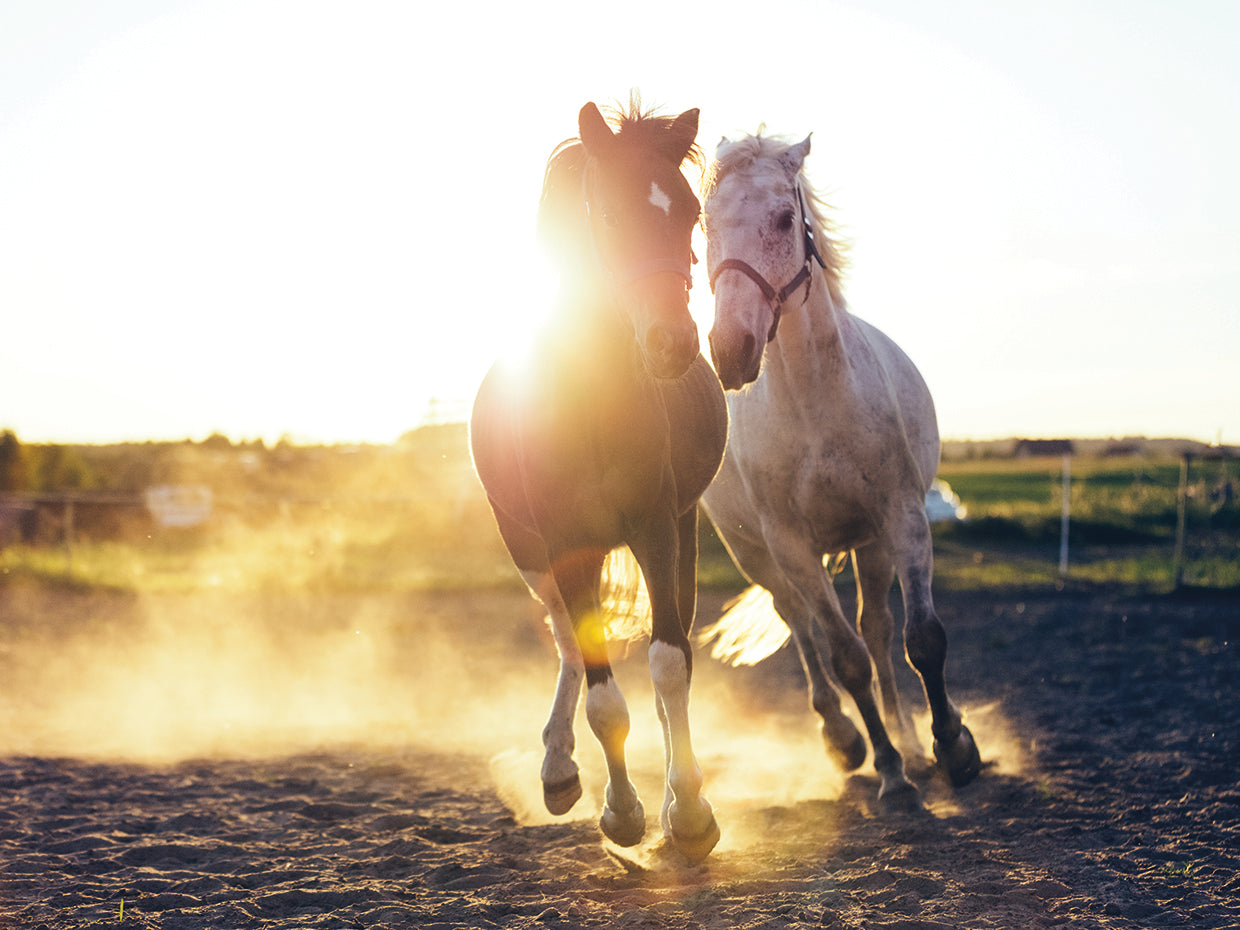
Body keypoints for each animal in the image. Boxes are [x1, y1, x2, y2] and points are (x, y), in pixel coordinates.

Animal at [469, 99, 728, 860]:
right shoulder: (565, 544)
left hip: (682, 532)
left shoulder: (656, 525)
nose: (673, 343)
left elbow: (669, 664)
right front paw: (620, 813)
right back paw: (557, 770)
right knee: (564, 642)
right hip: (527, 550)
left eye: (689, 211)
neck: (593, 401)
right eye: (610, 215)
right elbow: (603, 696)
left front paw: (688, 814)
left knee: (672, 655)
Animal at [698, 131, 981, 811]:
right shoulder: (791, 547)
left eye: (782, 218)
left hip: (869, 545)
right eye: (705, 223)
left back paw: (910, 740)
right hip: (758, 556)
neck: (816, 402)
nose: (731, 350)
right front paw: (890, 773)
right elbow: (844, 656)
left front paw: (952, 747)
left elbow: (920, 638)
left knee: (878, 629)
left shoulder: (902, 519)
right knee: (801, 626)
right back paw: (846, 740)